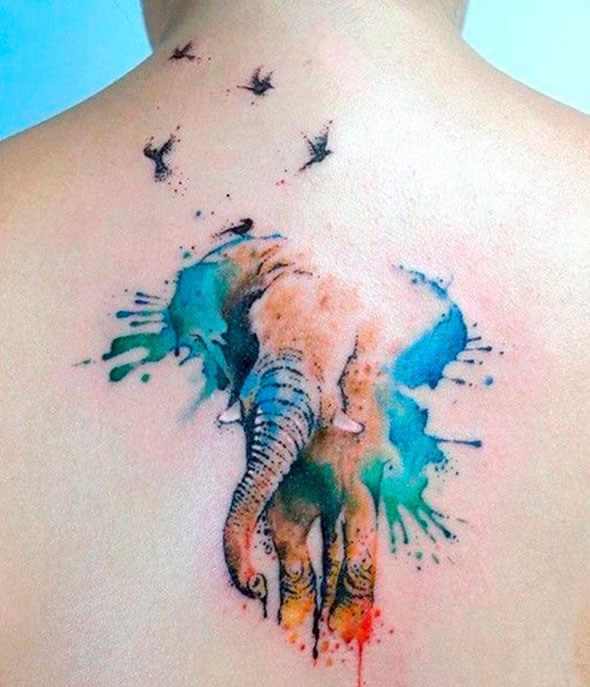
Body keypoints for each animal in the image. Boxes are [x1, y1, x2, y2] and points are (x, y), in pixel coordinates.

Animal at [102, 231, 482, 654]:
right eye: (251, 341)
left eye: (345, 358)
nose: (256, 584)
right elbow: (285, 523)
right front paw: (292, 622)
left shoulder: (363, 421)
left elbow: (359, 516)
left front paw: (342, 629)